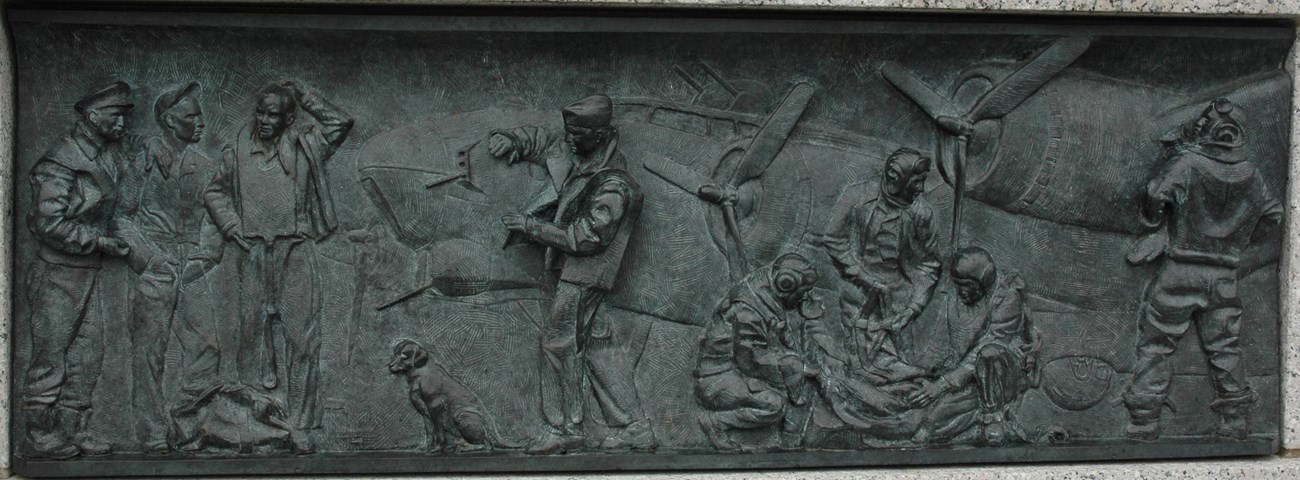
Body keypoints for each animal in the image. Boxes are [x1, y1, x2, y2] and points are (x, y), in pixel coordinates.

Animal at [387, 335, 520, 452]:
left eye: (404, 355)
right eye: (395, 353)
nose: (389, 365)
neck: (420, 373)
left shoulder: (435, 406)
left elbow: (438, 431)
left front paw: (436, 448)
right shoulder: (423, 411)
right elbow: (429, 432)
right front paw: (424, 447)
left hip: (461, 415)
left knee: (486, 444)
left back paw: (465, 447)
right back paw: (456, 444)